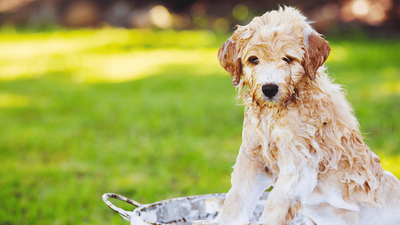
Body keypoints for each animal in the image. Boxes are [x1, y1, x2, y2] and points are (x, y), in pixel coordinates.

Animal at [193, 6, 400, 225]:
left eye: (288, 59)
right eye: (253, 60)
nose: (269, 89)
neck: (274, 114)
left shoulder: (298, 164)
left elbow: (274, 204)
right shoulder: (251, 156)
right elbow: (236, 199)